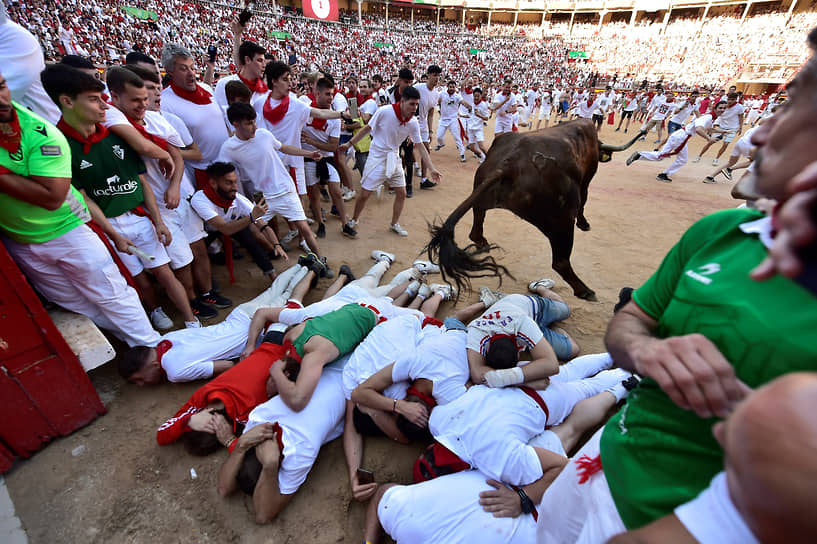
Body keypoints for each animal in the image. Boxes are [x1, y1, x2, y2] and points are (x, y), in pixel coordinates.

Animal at [424, 118, 640, 302]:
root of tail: (510, 164)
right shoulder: (587, 178)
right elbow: (584, 201)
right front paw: (584, 223)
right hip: (561, 221)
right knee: (560, 261)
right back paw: (585, 291)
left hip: (483, 194)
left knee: (476, 225)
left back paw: (483, 244)